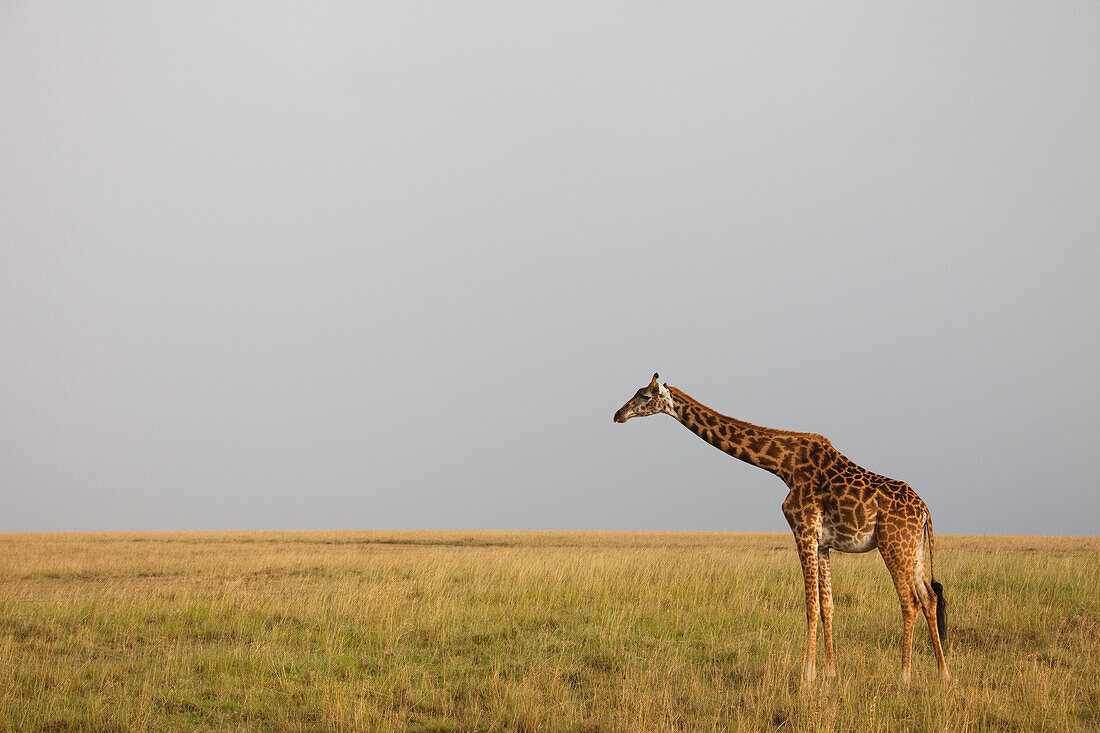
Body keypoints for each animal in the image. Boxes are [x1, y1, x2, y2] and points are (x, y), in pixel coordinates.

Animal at [616, 374, 950, 682]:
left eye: (645, 396)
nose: (618, 414)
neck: (783, 465)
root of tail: (925, 511)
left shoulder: (803, 531)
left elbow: (810, 606)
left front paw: (808, 675)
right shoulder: (822, 543)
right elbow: (828, 606)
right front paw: (830, 673)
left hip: (892, 544)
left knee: (910, 602)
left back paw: (905, 675)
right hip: (914, 549)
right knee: (929, 598)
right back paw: (943, 673)